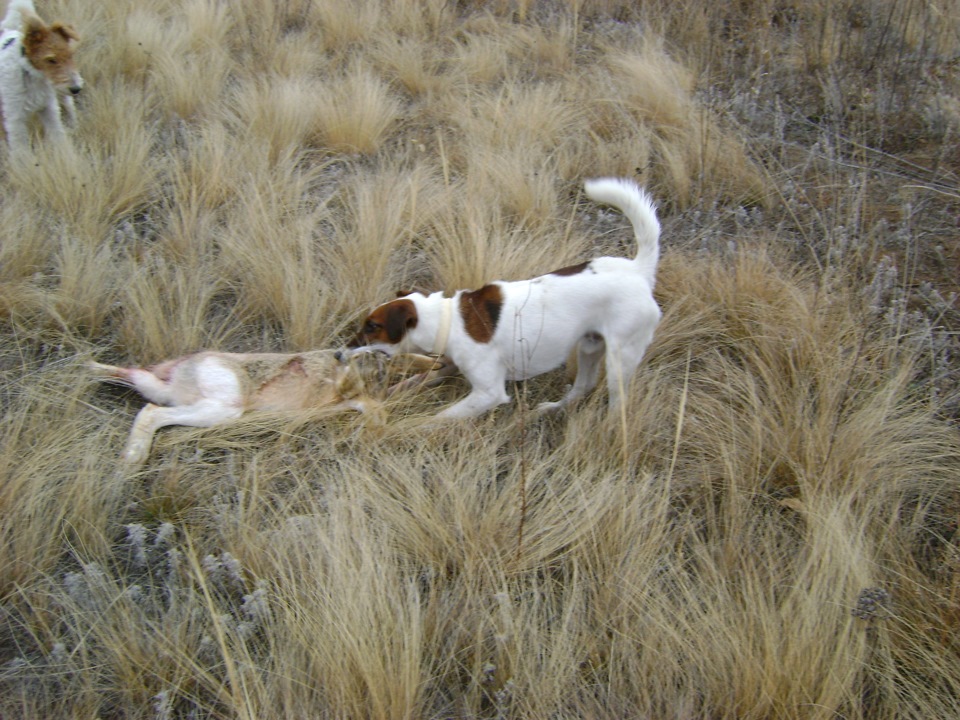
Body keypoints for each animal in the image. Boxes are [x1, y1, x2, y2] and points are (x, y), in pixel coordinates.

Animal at [0, 0, 81, 152]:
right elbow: (20, 149)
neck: (33, 76)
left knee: (70, 107)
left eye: (70, 55)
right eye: (51, 59)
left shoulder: (49, 108)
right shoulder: (15, 118)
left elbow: (58, 135)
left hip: (61, 96)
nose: (76, 88)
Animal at [348, 176, 664, 420]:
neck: (447, 319)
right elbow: (414, 381)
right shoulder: (447, 365)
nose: (342, 351)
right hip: (589, 346)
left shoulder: (487, 393)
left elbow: (439, 418)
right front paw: (383, 396)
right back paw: (552, 409)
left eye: (372, 327)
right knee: (582, 386)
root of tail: (638, 270)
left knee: (617, 402)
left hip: (620, 359)